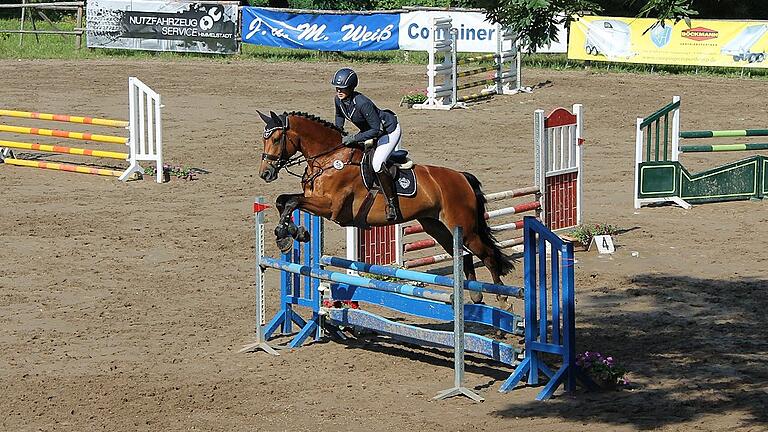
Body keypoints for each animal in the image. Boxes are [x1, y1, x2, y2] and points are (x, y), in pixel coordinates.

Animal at [258, 109, 516, 306]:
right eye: (264, 139)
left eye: (276, 139)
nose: (265, 174)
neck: (329, 158)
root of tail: (461, 177)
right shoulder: (313, 200)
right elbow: (283, 200)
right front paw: (291, 233)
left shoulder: (331, 208)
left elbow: (291, 201)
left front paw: (288, 234)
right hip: (437, 227)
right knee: (463, 255)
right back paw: (475, 295)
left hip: (465, 227)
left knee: (488, 255)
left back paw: (504, 301)